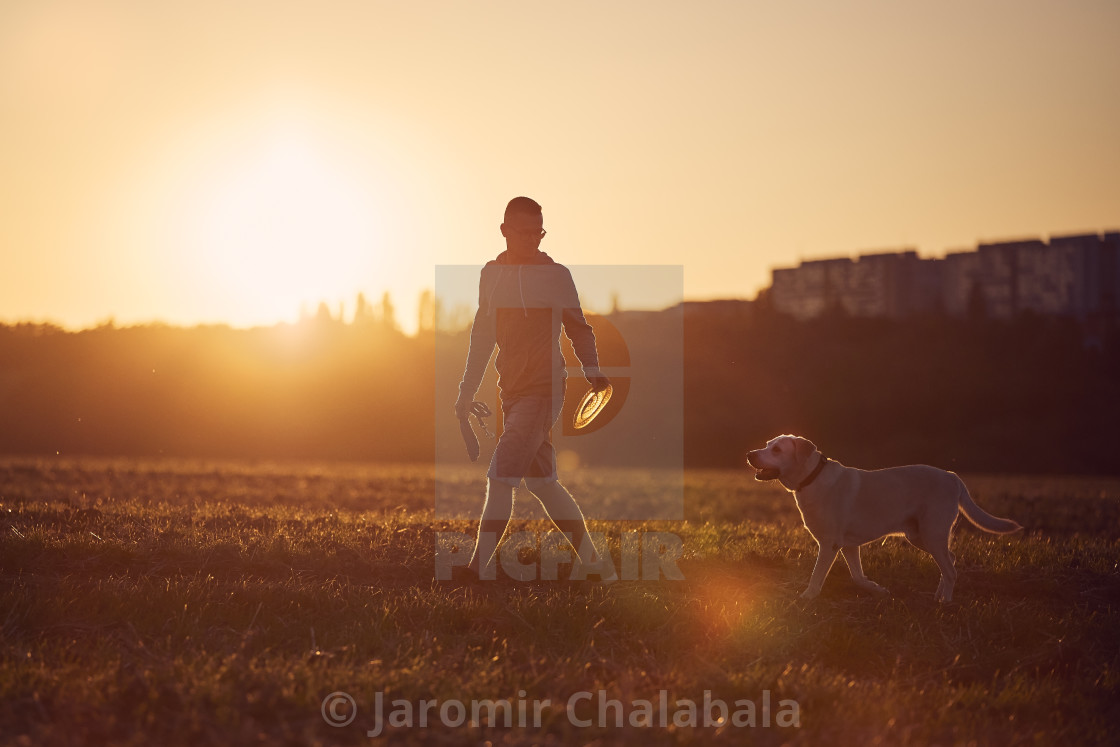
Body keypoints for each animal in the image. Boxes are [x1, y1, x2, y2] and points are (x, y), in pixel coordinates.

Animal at [748, 439, 1021, 600]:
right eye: (767, 444)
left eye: (777, 450)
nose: (750, 453)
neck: (811, 478)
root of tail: (953, 476)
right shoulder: (848, 545)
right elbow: (857, 576)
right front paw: (877, 589)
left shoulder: (829, 545)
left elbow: (817, 577)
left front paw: (806, 598)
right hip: (919, 536)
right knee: (950, 560)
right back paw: (937, 596)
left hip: (932, 534)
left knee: (951, 570)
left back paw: (945, 603)